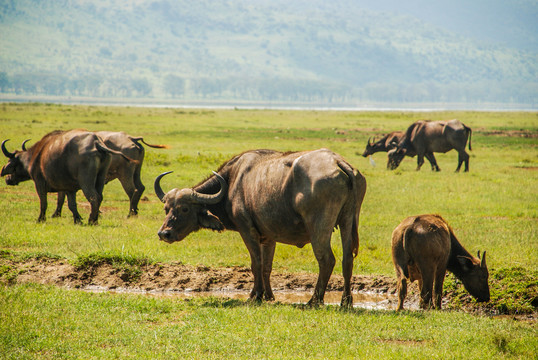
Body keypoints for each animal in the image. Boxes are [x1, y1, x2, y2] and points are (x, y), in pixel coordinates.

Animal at [0, 129, 133, 225]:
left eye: (10, 161)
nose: (7, 179)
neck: (36, 156)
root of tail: (96, 143)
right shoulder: (69, 189)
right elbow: (71, 204)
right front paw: (77, 219)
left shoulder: (39, 183)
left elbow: (44, 202)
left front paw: (40, 219)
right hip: (100, 177)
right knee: (100, 196)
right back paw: (95, 219)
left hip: (86, 181)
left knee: (94, 197)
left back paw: (91, 220)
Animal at [153, 148, 366, 306]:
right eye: (166, 208)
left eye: (184, 209)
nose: (164, 233)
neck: (233, 181)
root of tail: (338, 162)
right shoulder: (269, 237)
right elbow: (266, 266)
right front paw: (269, 296)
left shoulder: (247, 231)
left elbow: (255, 263)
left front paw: (254, 295)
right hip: (348, 220)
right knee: (347, 259)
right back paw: (346, 301)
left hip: (318, 228)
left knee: (327, 259)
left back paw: (314, 300)